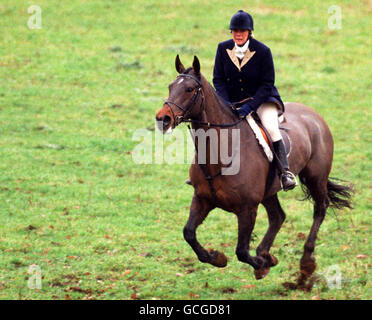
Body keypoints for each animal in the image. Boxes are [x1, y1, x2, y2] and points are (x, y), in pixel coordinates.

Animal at [154, 55, 352, 288]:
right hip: (270, 191)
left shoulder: (247, 208)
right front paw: (218, 258)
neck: (218, 155)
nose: (163, 119)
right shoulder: (202, 199)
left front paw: (262, 264)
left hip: (315, 177)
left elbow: (241, 251)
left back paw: (305, 264)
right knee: (278, 216)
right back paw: (266, 253)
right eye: (170, 87)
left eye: (190, 89)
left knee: (320, 208)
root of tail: (313, 115)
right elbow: (189, 234)